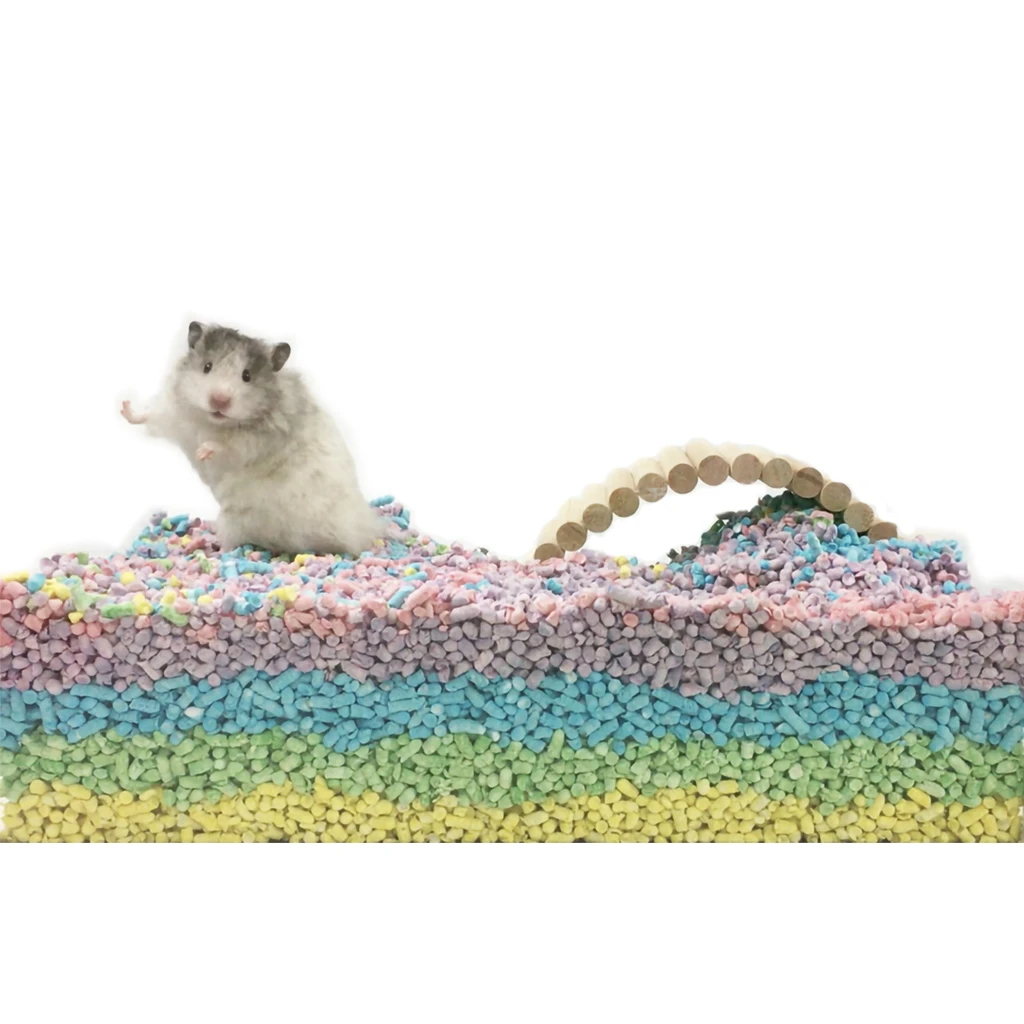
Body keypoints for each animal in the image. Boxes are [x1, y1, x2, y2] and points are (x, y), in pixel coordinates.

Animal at [122, 321, 384, 557]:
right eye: (207, 366)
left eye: (246, 376)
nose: (219, 400)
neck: (214, 422)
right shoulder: (175, 417)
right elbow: (147, 415)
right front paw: (124, 407)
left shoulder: (255, 442)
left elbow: (226, 445)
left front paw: (203, 451)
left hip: (237, 522)